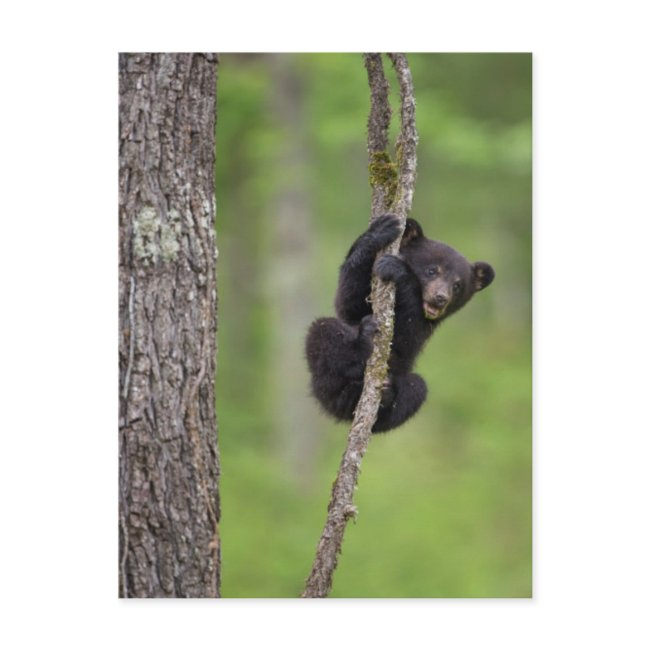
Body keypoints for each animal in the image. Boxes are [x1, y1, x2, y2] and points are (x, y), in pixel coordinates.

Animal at [305, 213, 495, 433]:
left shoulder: (423, 328)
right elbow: (348, 301)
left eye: (457, 285)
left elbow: (406, 338)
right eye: (432, 271)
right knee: (324, 330)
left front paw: (398, 269)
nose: (440, 298)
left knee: (417, 389)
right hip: (325, 383)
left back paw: (385, 396)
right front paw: (380, 231)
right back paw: (360, 345)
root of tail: (339, 408)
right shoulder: (357, 304)